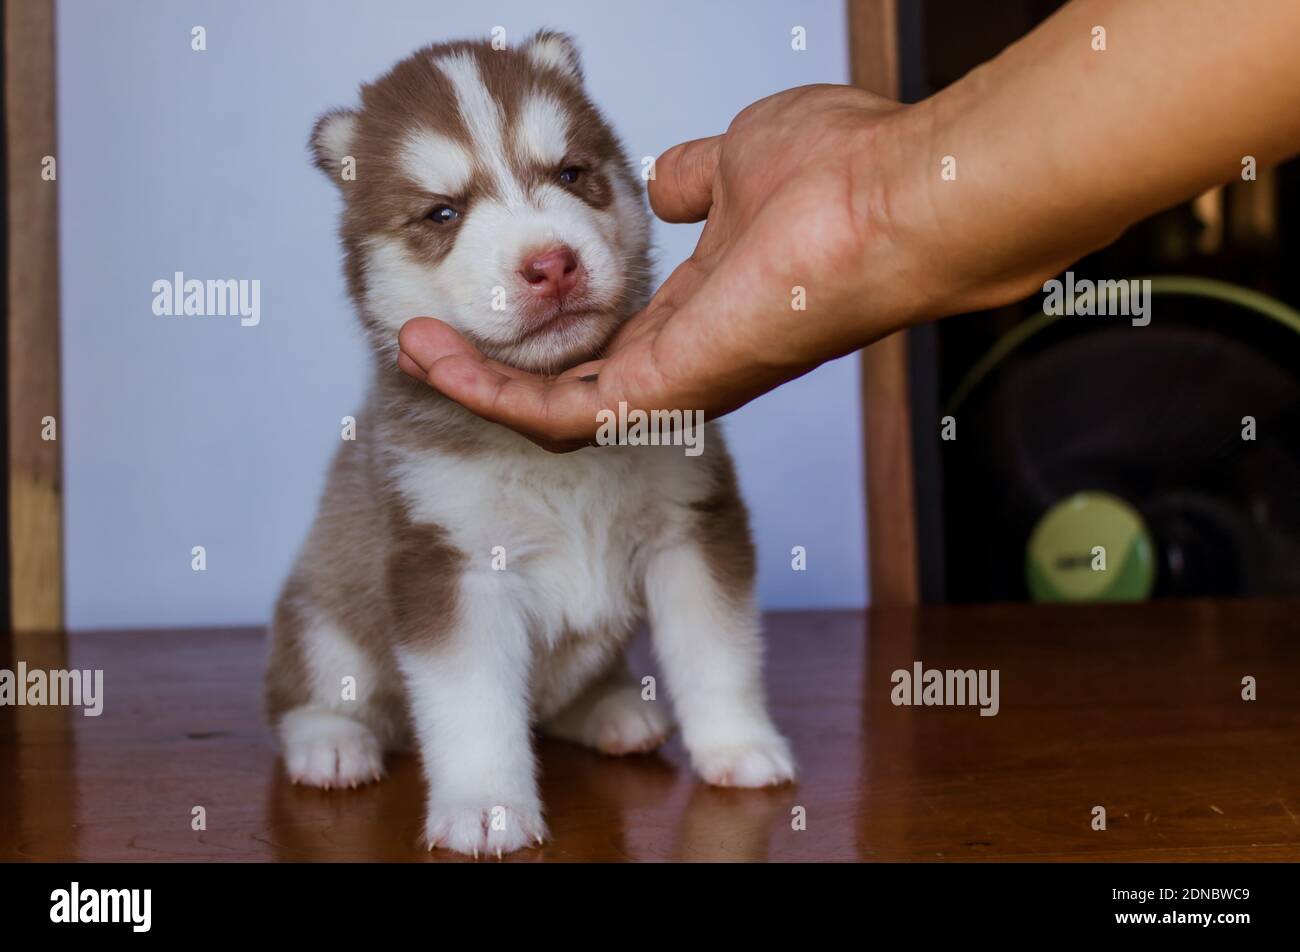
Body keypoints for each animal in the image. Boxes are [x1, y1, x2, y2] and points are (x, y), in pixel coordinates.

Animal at [266, 33, 790, 858]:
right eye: (442, 211)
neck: (554, 458)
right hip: (322, 612)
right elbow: (473, 701)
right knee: (312, 692)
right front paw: (486, 805)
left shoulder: (691, 524)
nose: (551, 263)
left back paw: (613, 710)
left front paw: (738, 746)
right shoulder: (451, 563)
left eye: (571, 174)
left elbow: (717, 649)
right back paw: (331, 742)